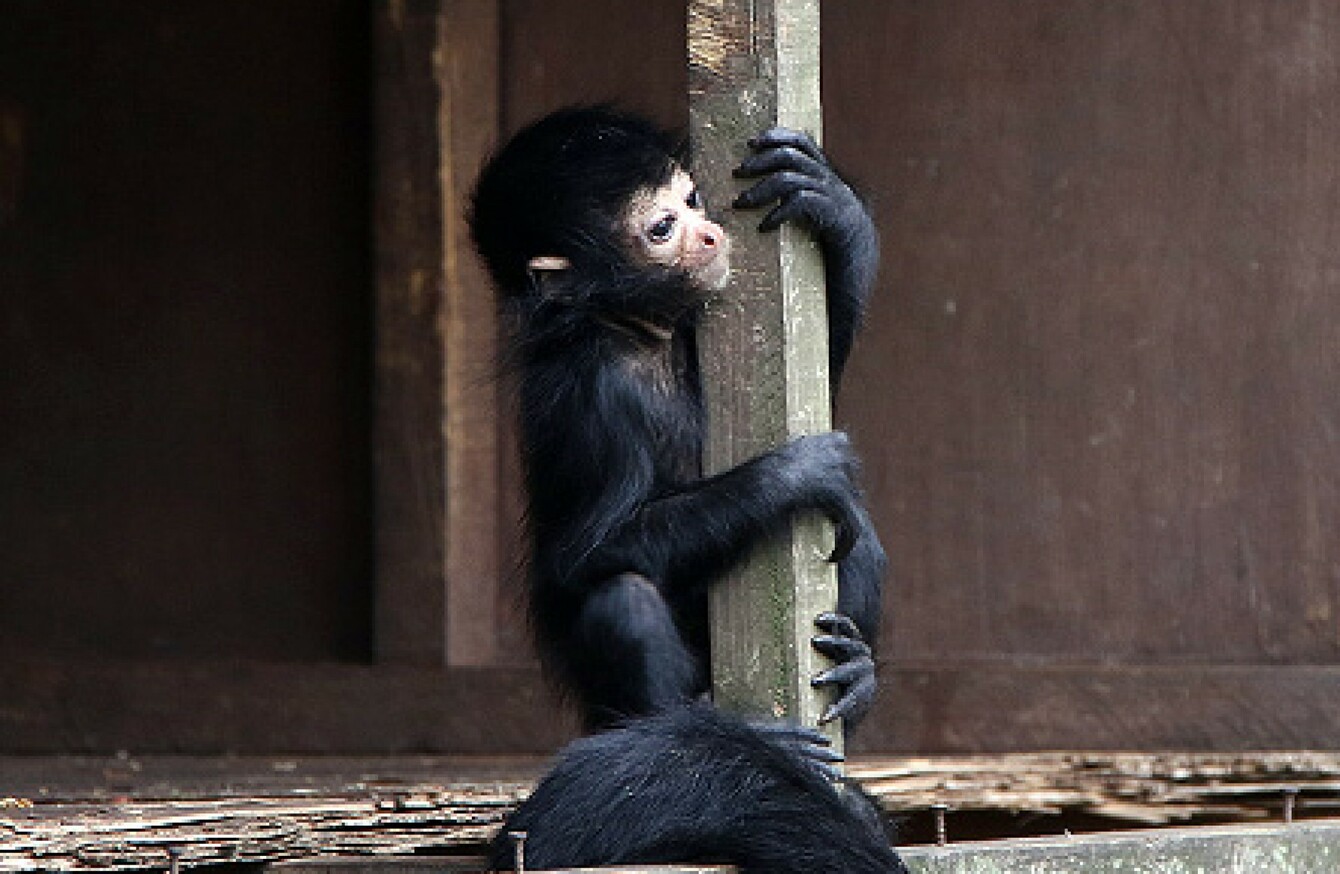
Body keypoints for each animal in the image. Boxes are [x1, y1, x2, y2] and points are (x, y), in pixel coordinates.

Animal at [469, 105, 885, 731]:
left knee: (860, 544)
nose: (710, 233)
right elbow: (580, 557)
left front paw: (829, 199)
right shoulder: (592, 390)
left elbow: (822, 366)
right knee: (624, 602)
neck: (636, 330)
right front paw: (794, 474)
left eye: (692, 201)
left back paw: (855, 678)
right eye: (663, 228)